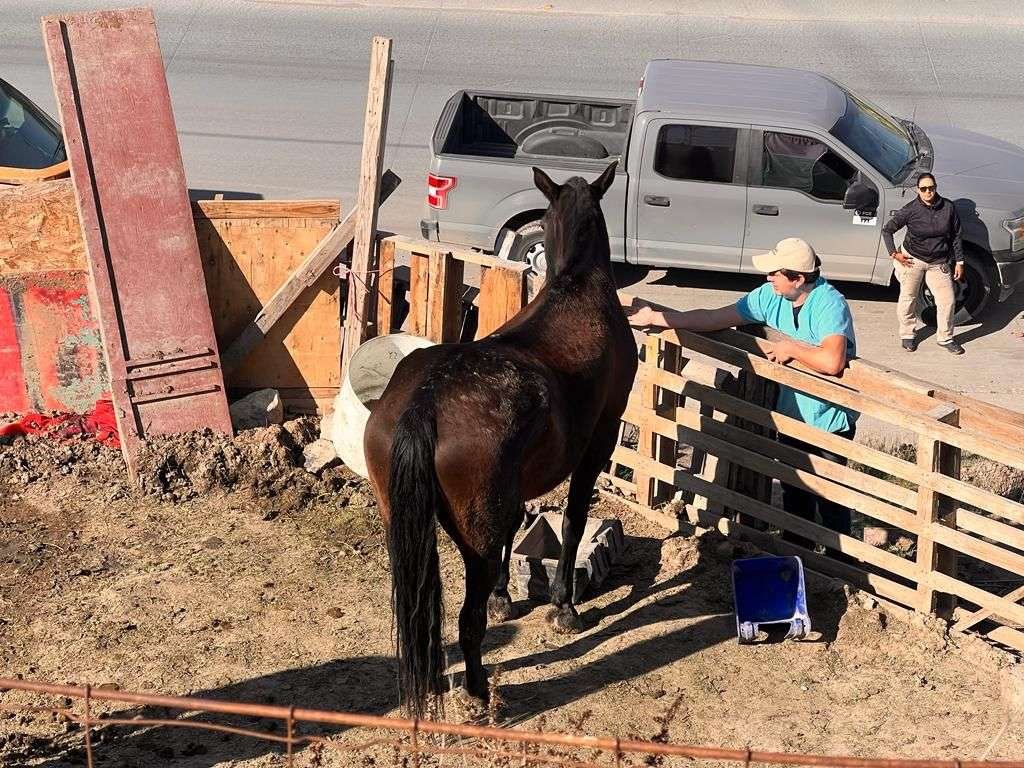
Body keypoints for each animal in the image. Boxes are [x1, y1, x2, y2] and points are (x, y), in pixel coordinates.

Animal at [363, 160, 637, 717]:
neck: (577, 286)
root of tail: (425, 402)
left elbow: (518, 522)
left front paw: (504, 596)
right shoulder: (597, 443)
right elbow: (573, 521)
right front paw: (563, 606)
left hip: (404, 523)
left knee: (423, 610)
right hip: (474, 543)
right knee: (466, 623)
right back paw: (476, 689)